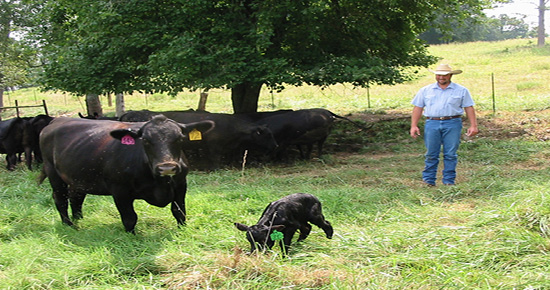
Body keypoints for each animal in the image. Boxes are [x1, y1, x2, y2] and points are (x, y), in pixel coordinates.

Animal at [38, 115, 215, 233]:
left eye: (179, 138)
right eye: (145, 140)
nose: (167, 168)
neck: (159, 183)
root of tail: (57, 120)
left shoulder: (180, 184)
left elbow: (179, 212)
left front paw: (182, 231)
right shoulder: (119, 190)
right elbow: (130, 218)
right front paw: (132, 237)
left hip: (78, 177)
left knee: (76, 197)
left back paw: (79, 219)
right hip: (53, 173)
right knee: (60, 198)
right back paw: (69, 225)